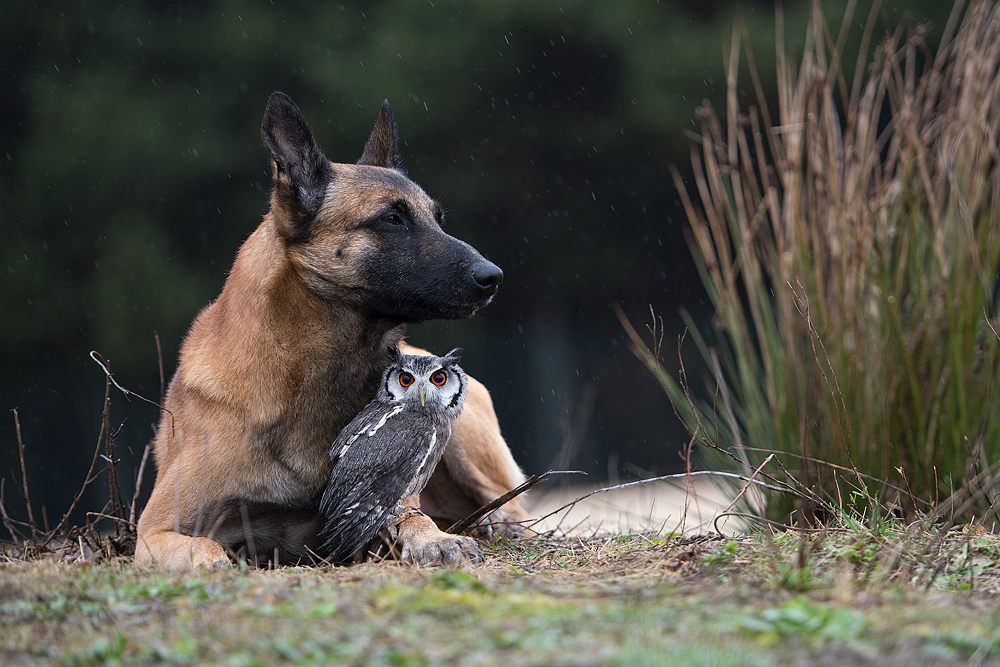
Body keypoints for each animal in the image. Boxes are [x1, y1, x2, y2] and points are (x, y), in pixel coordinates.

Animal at [137, 90, 536, 568]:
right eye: (392, 218)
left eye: (437, 218)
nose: (493, 277)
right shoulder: (152, 531)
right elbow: (207, 550)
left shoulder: (377, 497)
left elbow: (412, 517)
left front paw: (435, 539)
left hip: (460, 435)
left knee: (509, 503)